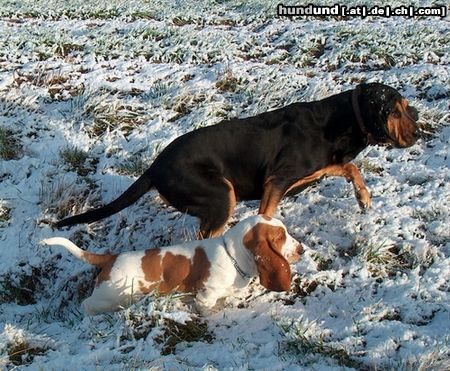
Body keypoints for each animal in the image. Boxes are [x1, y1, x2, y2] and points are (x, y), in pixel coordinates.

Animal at [42, 217, 302, 316]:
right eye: (280, 237)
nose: (301, 249)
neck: (232, 255)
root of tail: (110, 258)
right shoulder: (205, 296)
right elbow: (207, 309)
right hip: (108, 297)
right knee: (87, 305)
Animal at [56, 83, 418, 237]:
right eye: (395, 111)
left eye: (406, 108)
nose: (419, 134)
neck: (338, 120)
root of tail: (154, 166)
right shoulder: (277, 179)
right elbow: (267, 215)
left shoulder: (307, 172)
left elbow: (348, 166)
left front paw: (363, 197)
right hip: (220, 195)